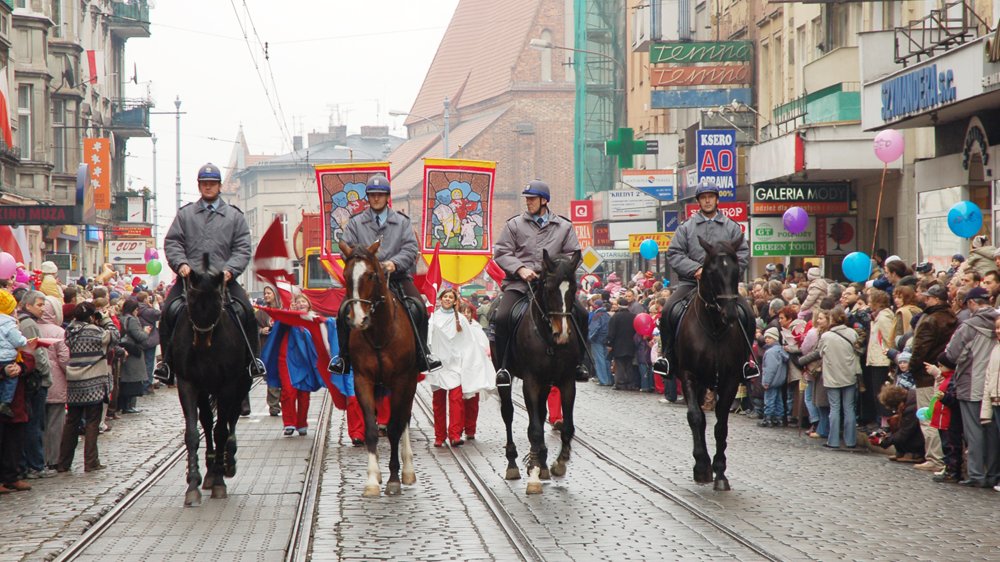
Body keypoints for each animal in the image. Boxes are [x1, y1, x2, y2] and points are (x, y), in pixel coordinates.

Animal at [172, 253, 252, 504]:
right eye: (191, 300)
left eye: (218, 301)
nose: (201, 343)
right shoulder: (187, 383)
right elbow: (192, 433)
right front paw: (193, 484)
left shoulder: (229, 385)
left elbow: (221, 431)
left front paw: (219, 481)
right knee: (207, 421)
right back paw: (208, 471)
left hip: (241, 384)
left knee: (231, 420)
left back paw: (228, 461)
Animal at [340, 236, 418, 494]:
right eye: (345, 275)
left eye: (371, 275)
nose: (358, 320)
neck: (379, 333)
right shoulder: (362, 380)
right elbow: (372, 429)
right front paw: (373, 479)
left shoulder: (402, 380)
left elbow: (394, 427)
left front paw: (394, 478)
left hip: (410, 383)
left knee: (404, 419)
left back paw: (408, 470)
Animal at [494, 247, 584, 492]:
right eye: (549, 288)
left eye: (574, 288)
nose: (562, 334)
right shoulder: (531, 382)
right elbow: (533, 428)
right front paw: (533, 471)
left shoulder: (567, 381)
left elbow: (567, 426)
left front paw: (558, 463)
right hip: (505, 379)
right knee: (508, 414)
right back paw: (513, 464)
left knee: (541, 414)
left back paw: (543, 462)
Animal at [668, 236, 752, 490]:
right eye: (712, 272)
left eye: (736, 271)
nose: (730, 314)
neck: (714, 328)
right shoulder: (688, 375)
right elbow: (696, 417)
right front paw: (702, 467)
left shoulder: (731, 380)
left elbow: (721, 423)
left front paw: (720, 472)